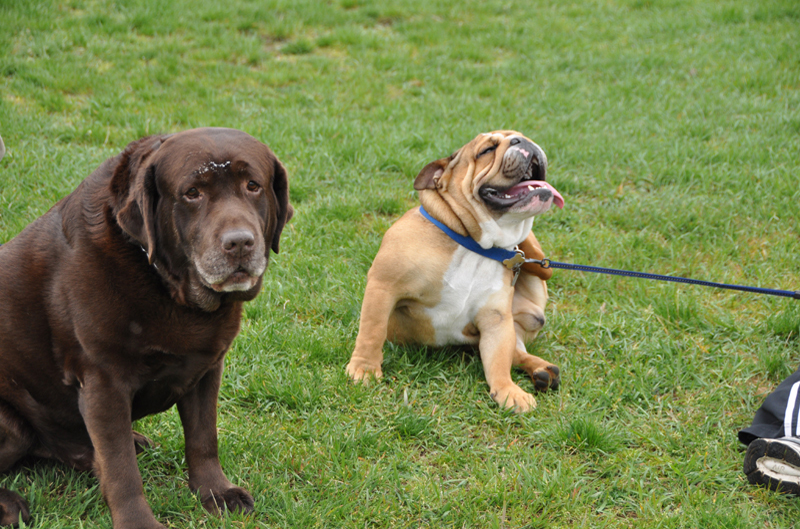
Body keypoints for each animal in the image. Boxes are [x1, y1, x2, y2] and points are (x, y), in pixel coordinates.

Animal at [0, 129, 294, 528]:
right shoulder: (103, 382)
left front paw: (215, 492)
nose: (239, 243)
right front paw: (138, 521)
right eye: (192, 193)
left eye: (253, 186)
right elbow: (121, 468)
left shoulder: (207, 367)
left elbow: (203, 438)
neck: (171, 290)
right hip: (10, 423)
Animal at [346, 130, 564, 410]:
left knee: (516, 350)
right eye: (486, 151)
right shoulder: (383, 285)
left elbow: (498, 359)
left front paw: (507, 390)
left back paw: (542, 370)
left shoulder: (496, 318)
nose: (521, 140)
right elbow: (372, 330)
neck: (475, 245)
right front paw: (364, 369)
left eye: (522, 135)